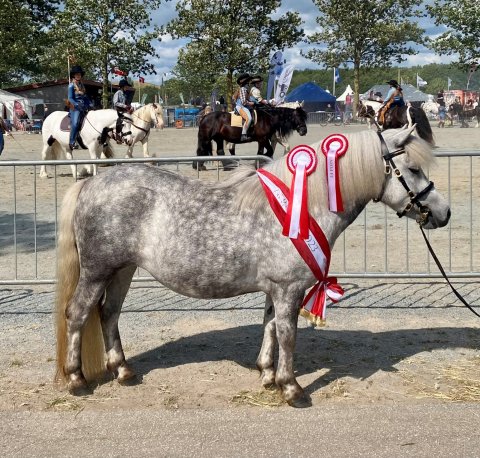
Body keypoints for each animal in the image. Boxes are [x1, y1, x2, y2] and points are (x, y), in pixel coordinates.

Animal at [55, 126, 450, 408]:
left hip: (122, 270)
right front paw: (292, 389)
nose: (443, 213)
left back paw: (123, 371)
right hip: (98, 271)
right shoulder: (289, 289)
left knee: (108, 313)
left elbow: (270, 327)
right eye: (413, 168)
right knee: (78, 313)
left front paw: (267, 376)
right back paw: (76, 380)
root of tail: (91, 182)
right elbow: (288, 335)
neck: (303, 207)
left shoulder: (276, 289)